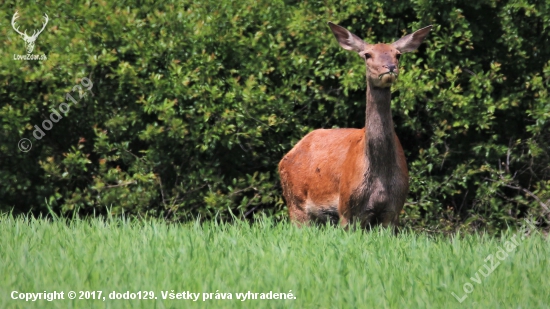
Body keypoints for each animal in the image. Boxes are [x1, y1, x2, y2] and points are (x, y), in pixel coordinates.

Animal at [278, 21, 434, 230]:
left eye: (398, 54)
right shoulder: (347, 209)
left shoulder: (393, 210)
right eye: (367, 54)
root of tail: (287, 155)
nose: (390, 67)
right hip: (295, 202)